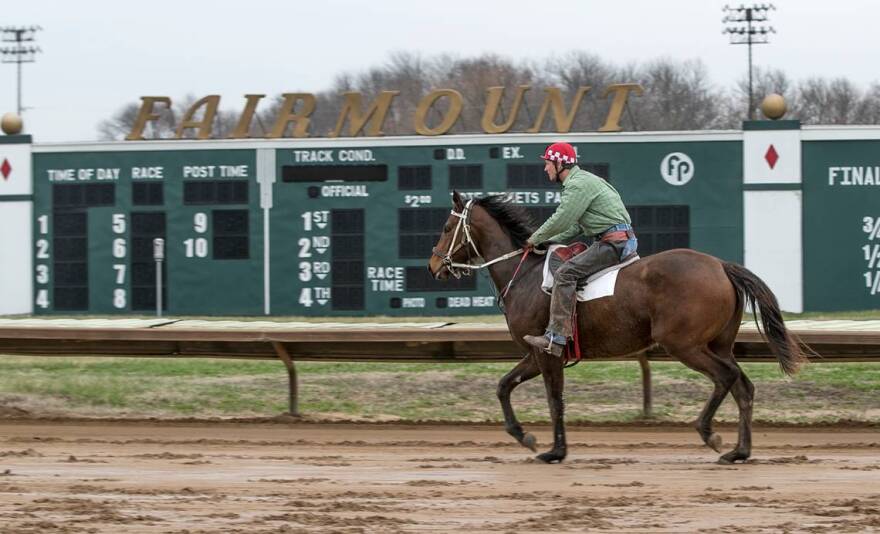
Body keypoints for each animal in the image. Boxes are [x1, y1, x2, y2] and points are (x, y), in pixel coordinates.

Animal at [428, 193, 812, 464]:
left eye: (447, 227)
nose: (433, 264)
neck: (523, 275)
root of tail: (721, 265)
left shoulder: (547, 352)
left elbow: (555, 400)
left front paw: (555, 450)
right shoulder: (535, 354)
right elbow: (503, 386)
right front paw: (525, 436)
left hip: (684, 345)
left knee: (726, 378)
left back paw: (710, 433)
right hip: (718, 343)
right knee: (743, 386)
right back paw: (739, 451)